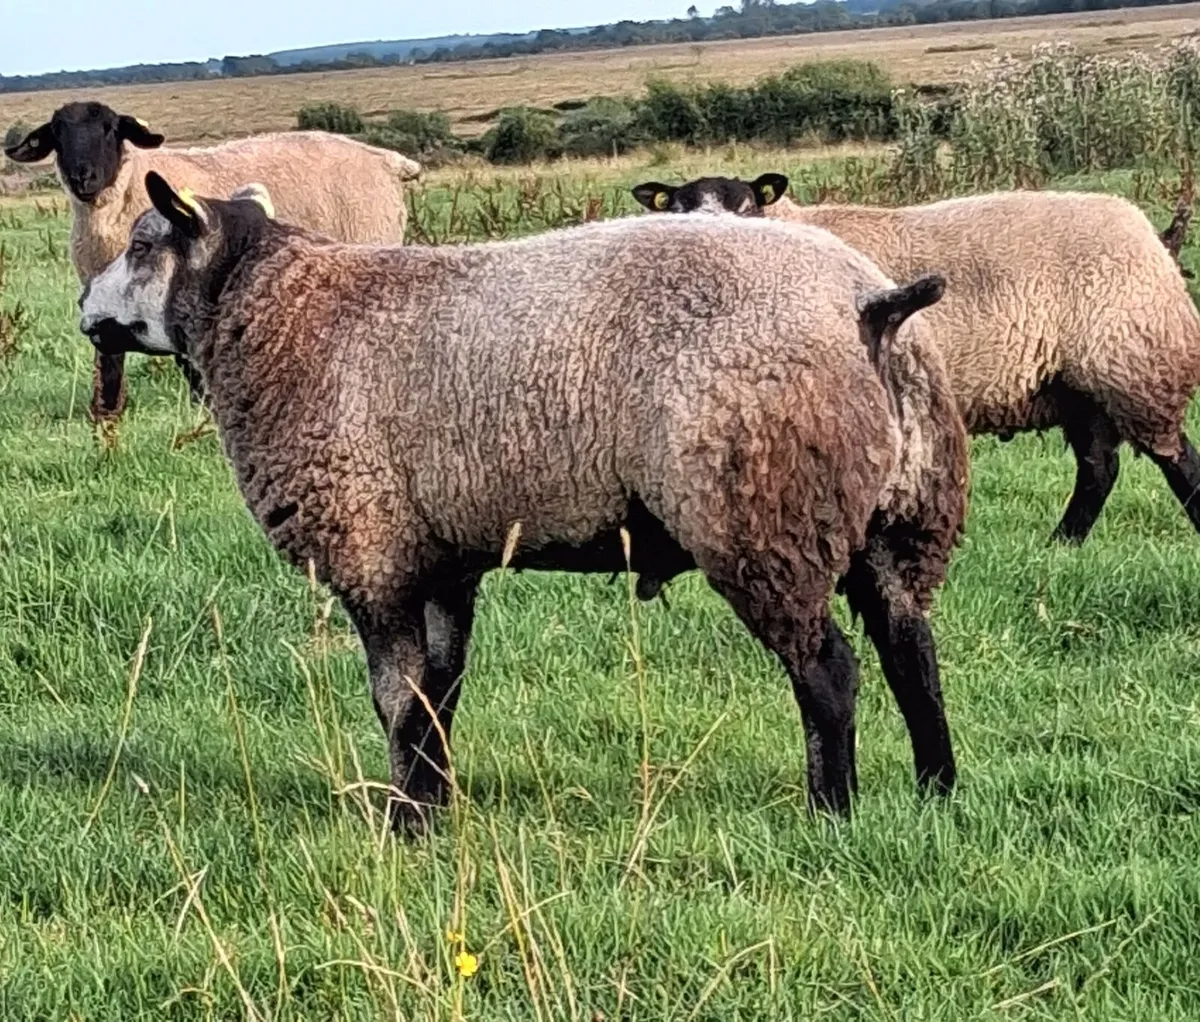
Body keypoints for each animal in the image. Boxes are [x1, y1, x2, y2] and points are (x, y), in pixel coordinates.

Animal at [5, 101, 422, 427]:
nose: (83, 177)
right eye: (57, 134)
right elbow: (109, 356)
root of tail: (386, 158)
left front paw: (204, 408)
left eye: (110, 130)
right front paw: (106, 413)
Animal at [79, 171, 969, 832]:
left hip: (764, 514)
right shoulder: (439, 559)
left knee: (830, 671)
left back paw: (833, 812)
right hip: (899, 515)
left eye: (142, 243)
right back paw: (937, 791)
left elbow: (395, 700)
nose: (84, 311)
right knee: (911, 653)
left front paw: (404, 825)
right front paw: (436, 809)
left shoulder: (371, 551)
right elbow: (437, 696)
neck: (282, 315)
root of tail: (870, 304)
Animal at [634, 174, 1200, 544]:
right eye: (676, 209)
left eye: (749, 205)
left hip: (1134, 363)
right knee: (1099, 468)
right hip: (1077, 385)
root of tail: (1151, 237)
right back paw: (1061, 544)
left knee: (1176, 460)